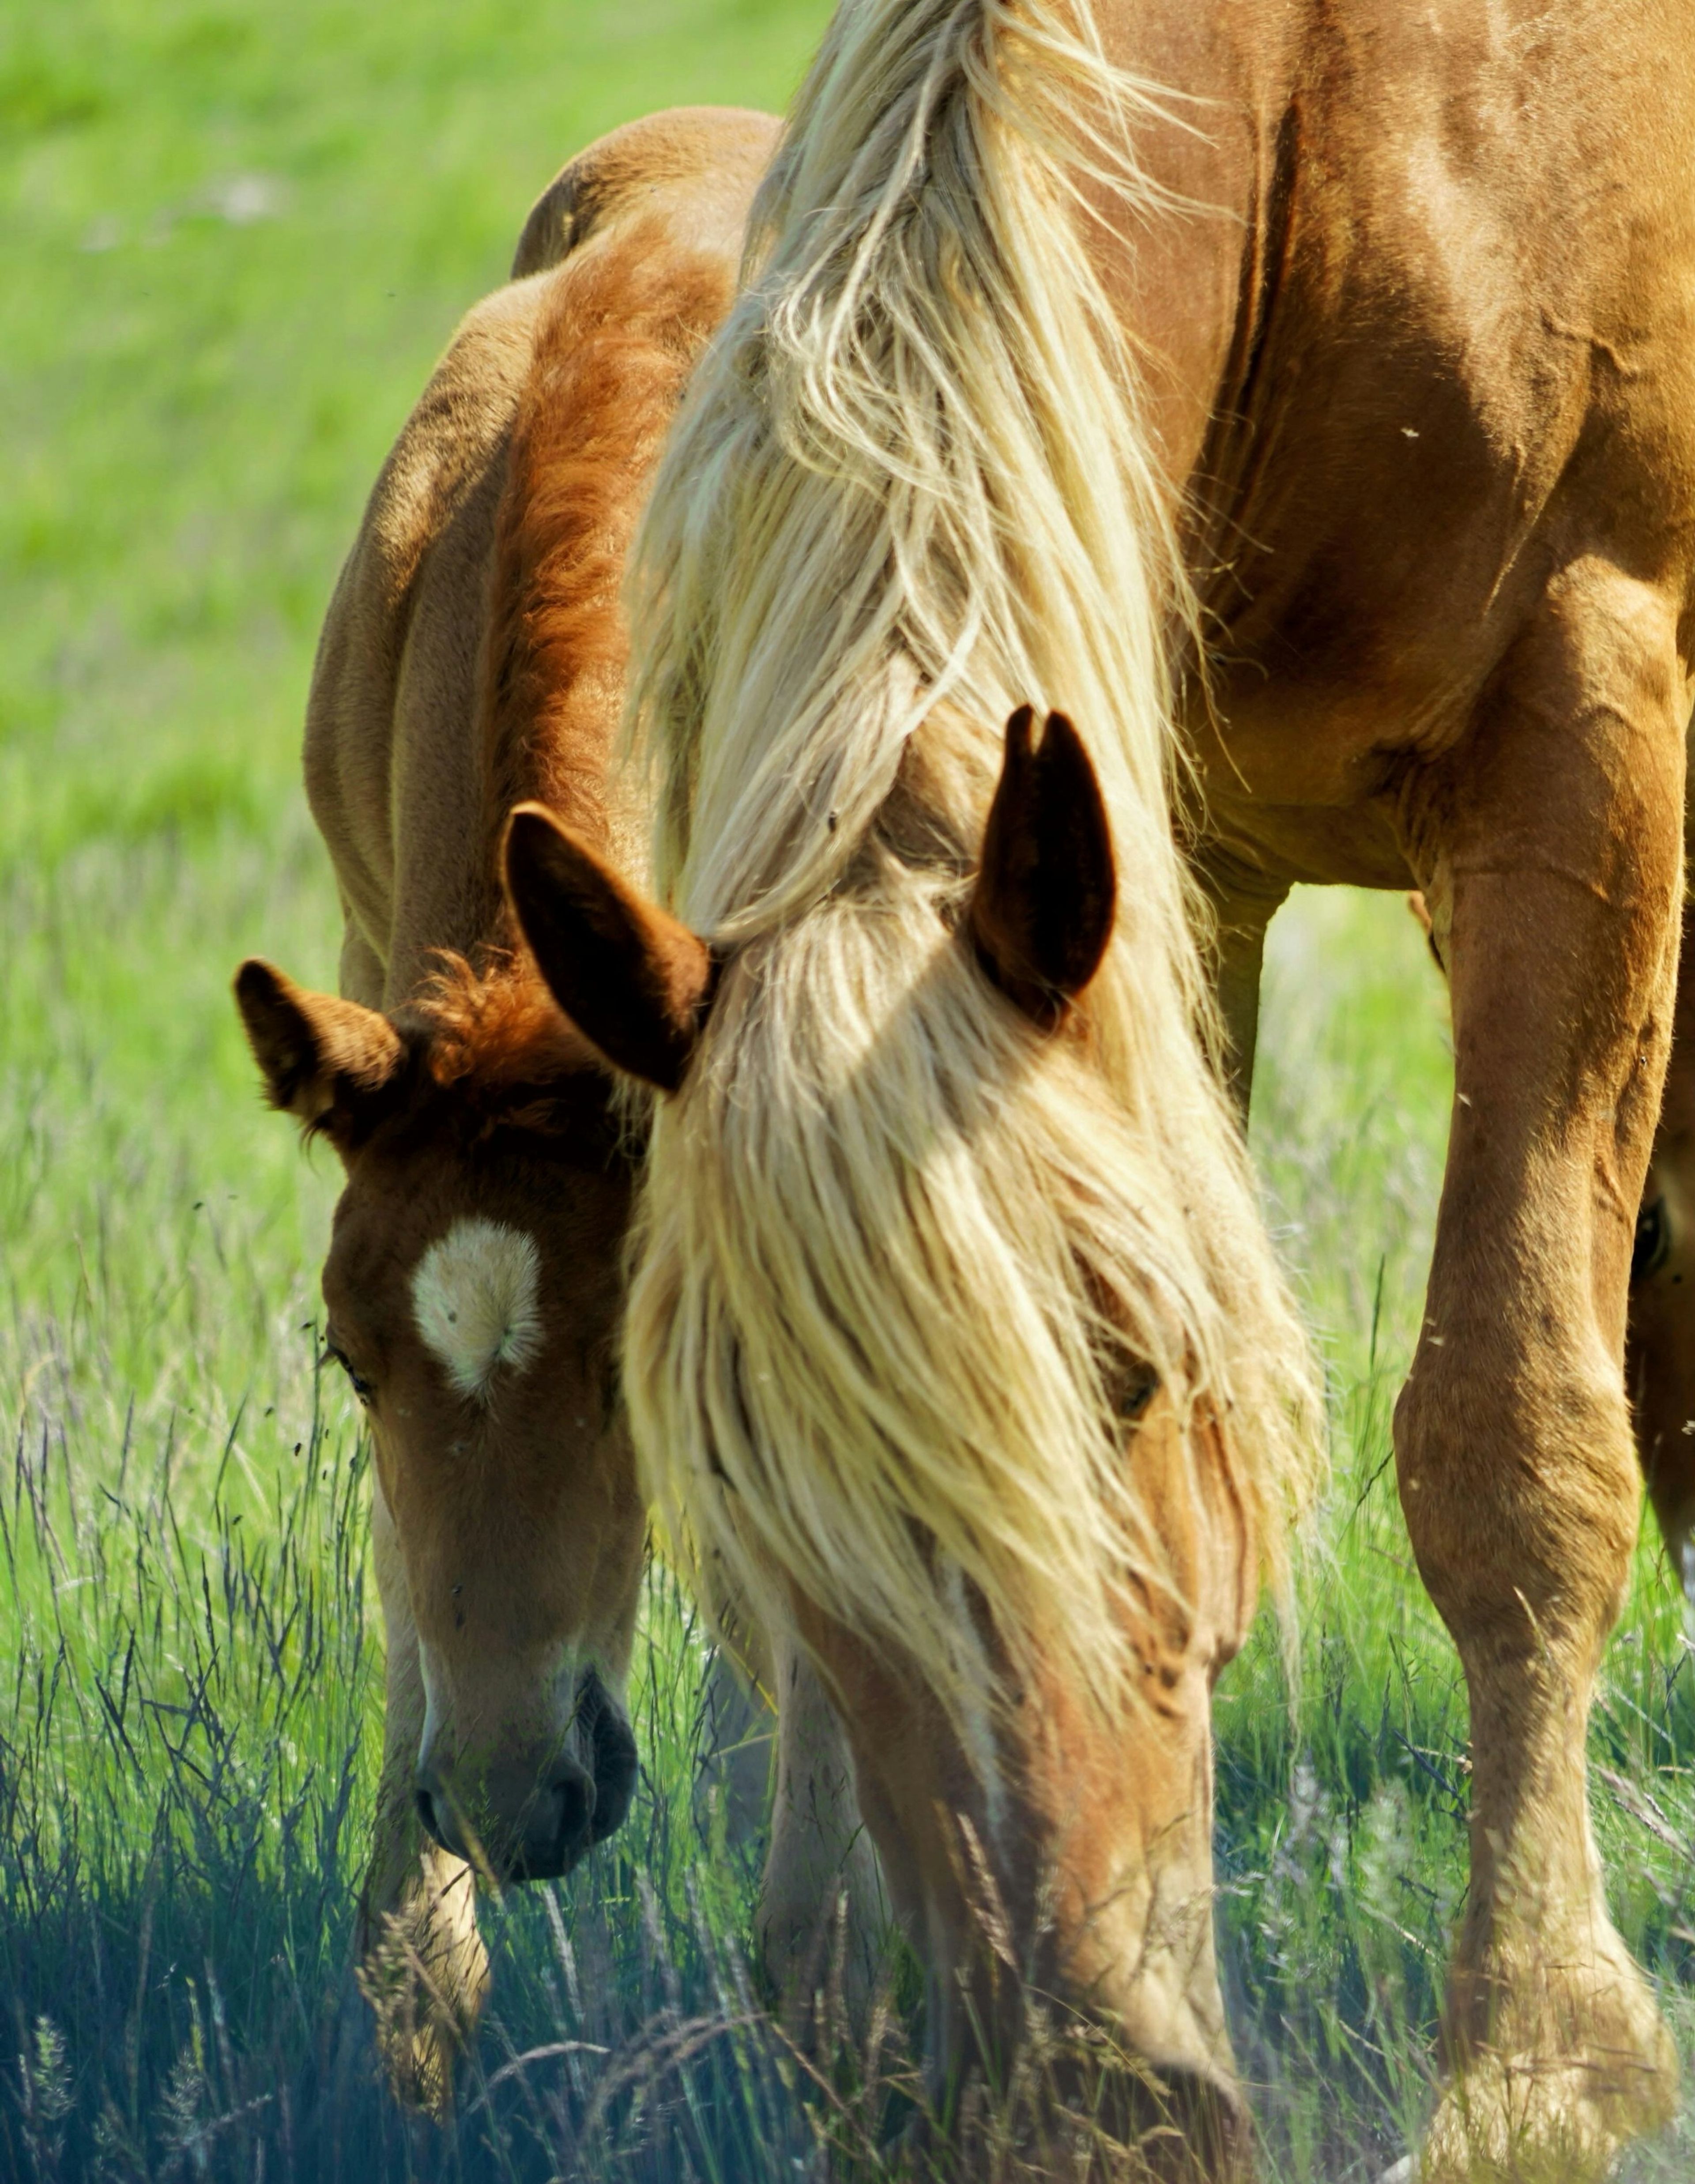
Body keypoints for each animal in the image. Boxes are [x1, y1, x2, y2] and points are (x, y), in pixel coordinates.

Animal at [501, 1, 1695, 2176]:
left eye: (1127, 1370)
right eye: (735, 1460)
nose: (1071, 2104)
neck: (1335, 116)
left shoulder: (1583, 712)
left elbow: (1515, 1431)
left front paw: (1539, 2057)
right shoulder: (1168, 844)